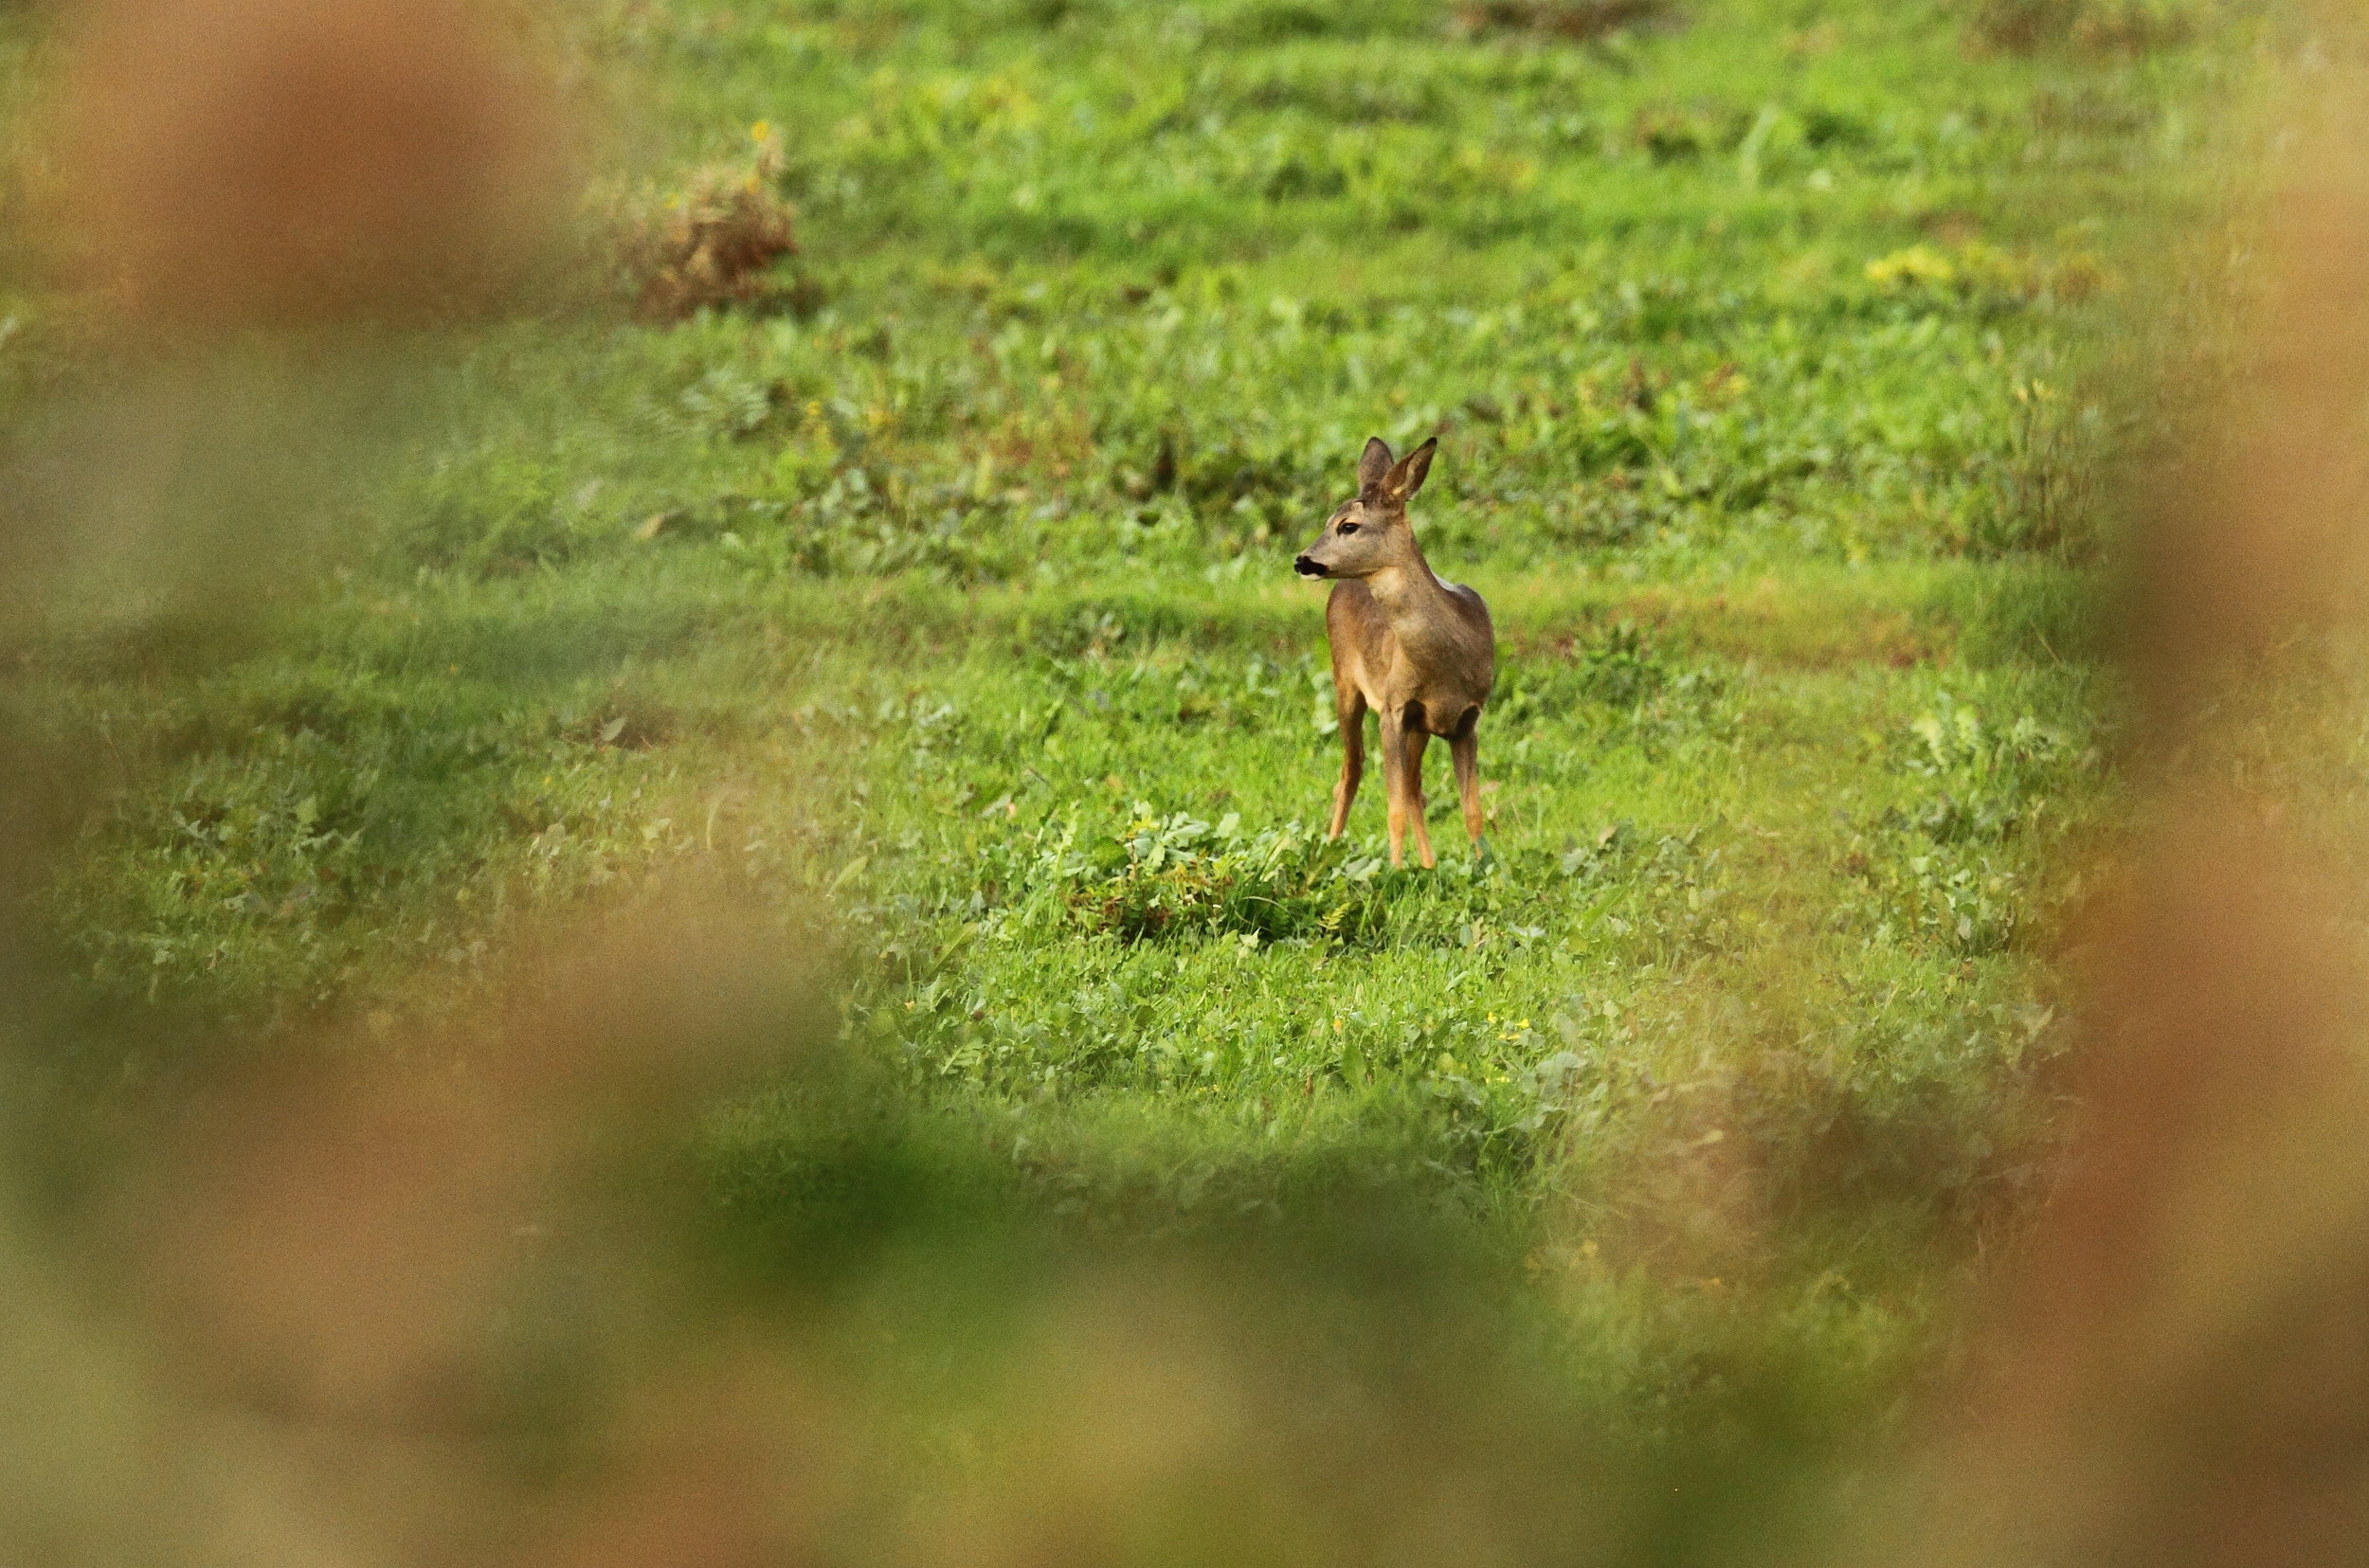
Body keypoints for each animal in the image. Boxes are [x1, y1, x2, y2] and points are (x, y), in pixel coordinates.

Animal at [1298, 436, 1497, 872]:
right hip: (1345, 683)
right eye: (1328, 521)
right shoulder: (1392, 708)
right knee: (1351, 770)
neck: (1447, 664)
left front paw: (1488, 871)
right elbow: (1393, 808)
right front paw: (1393, 872)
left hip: (1419, 726)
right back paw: (1329, 850)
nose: (1302, 560)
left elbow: (1471, 810)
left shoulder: (1467, 719)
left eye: (1348, 525)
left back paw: (1429, 864)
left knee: (1412, 784)